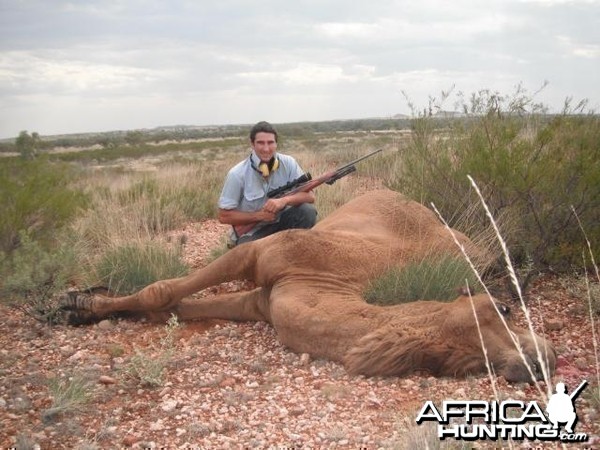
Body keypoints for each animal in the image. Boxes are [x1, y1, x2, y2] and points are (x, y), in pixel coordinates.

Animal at [63, 188, 556, 382]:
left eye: (472, 367)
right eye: (503, 309)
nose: (543, 359)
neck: (329, 282)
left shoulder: (259, 301)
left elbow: (171, 306)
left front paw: (85, 303)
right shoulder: (258, 258)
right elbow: (163, 292)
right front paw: (79, 303)